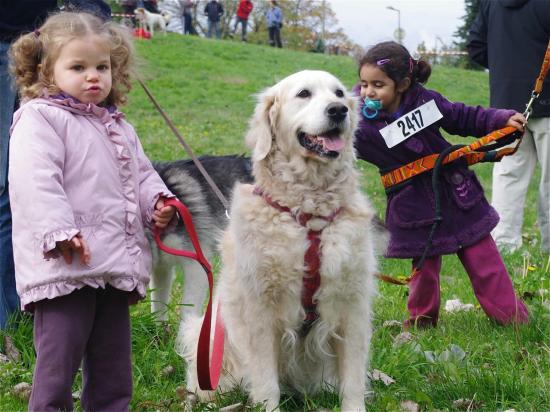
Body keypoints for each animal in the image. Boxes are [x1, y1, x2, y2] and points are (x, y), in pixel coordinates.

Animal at [181, 71, 384, 412]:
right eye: (304, 94)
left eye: (339, 93)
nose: (338, 110)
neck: (310, 214)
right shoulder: (261, 311)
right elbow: (266, 382)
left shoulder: (352, 306)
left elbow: (353, 379)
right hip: (204, 335)